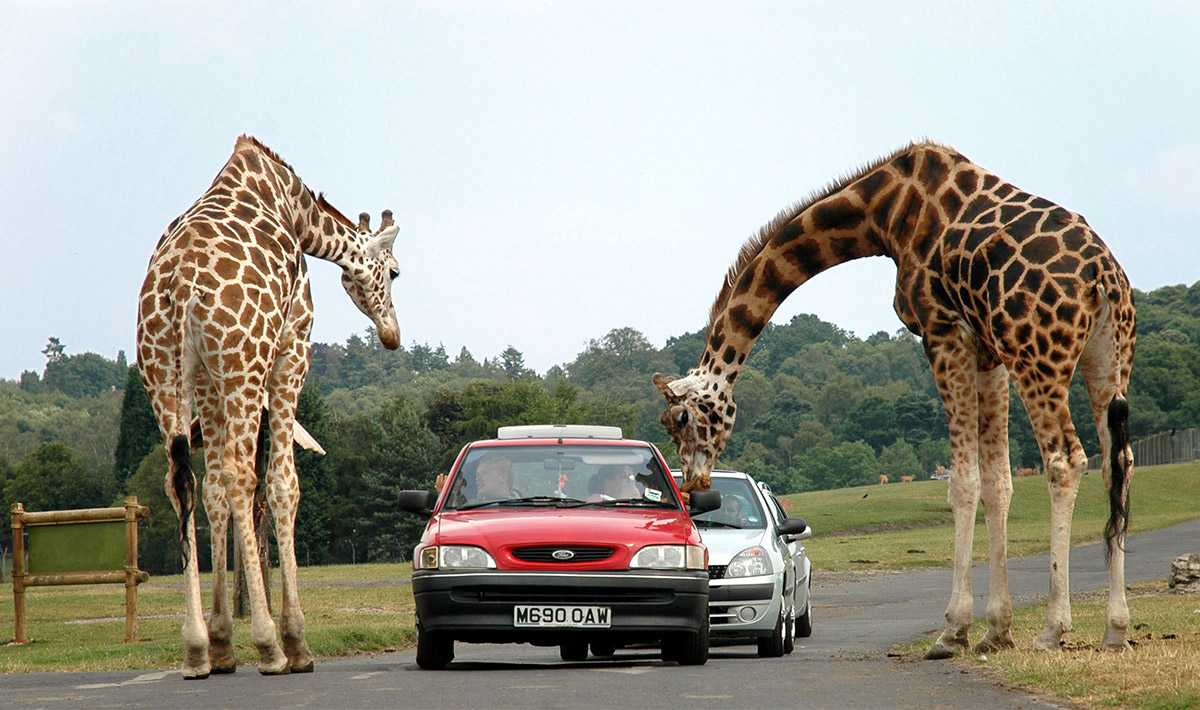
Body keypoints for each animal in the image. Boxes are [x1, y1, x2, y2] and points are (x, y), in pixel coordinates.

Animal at [134, 134, 400, 676]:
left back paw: (196, 649)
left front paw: (220, 641)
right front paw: (296, 640)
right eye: (396, 273)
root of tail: (178, 288)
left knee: (183, 482)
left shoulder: (208, 382)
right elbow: (282, 484)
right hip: (244, 365)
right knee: (242, 477)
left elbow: (212, 489)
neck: (297, 211)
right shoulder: (291, 349)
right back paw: (271, 645)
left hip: (164, 372)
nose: (393, 335)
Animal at [657, 141, 1132, 657]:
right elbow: (997, 482)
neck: (882, 214)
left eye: (679, 419)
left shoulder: (943, 330)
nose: (695, 485)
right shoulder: (987, 350)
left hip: (1037, 355)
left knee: (1065, 459)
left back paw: (1053, 629)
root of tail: (1102, 277)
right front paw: (996, 631)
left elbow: (962, 482)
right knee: (1117, 463)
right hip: (1107, 359)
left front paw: (953, 630)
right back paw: (1116, 627)